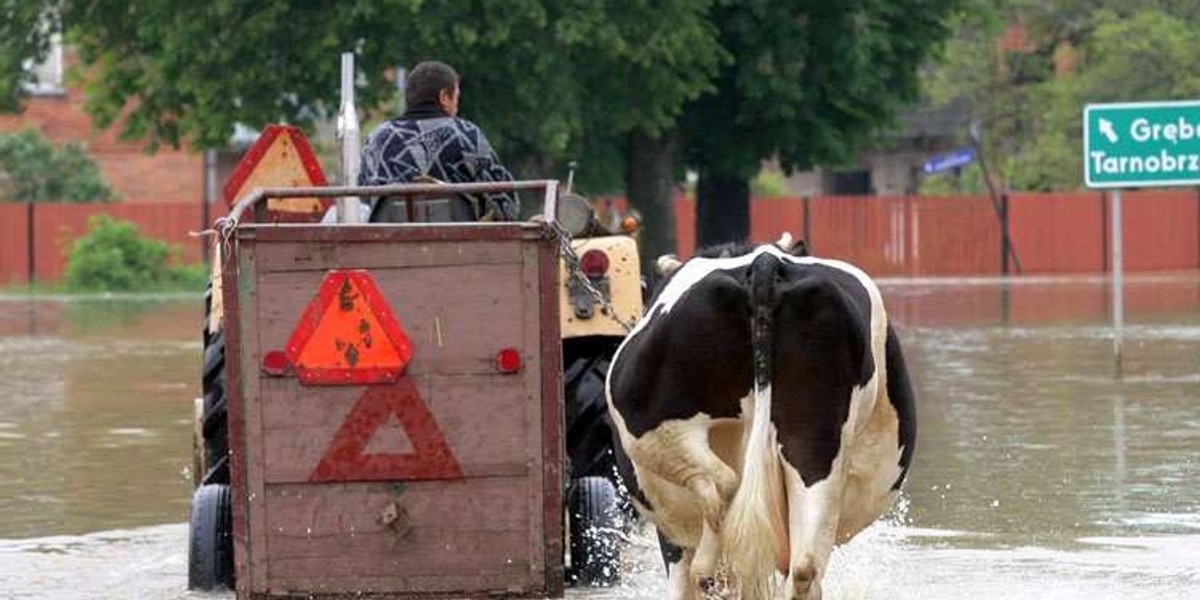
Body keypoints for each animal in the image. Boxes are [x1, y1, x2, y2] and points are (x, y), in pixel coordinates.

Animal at [604, 237, 912, 600]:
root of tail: (765, 264)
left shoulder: (671, 537)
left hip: (654, 428)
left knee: (722, 486)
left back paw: (708, 570)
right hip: (815, 447)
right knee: (804, 567)